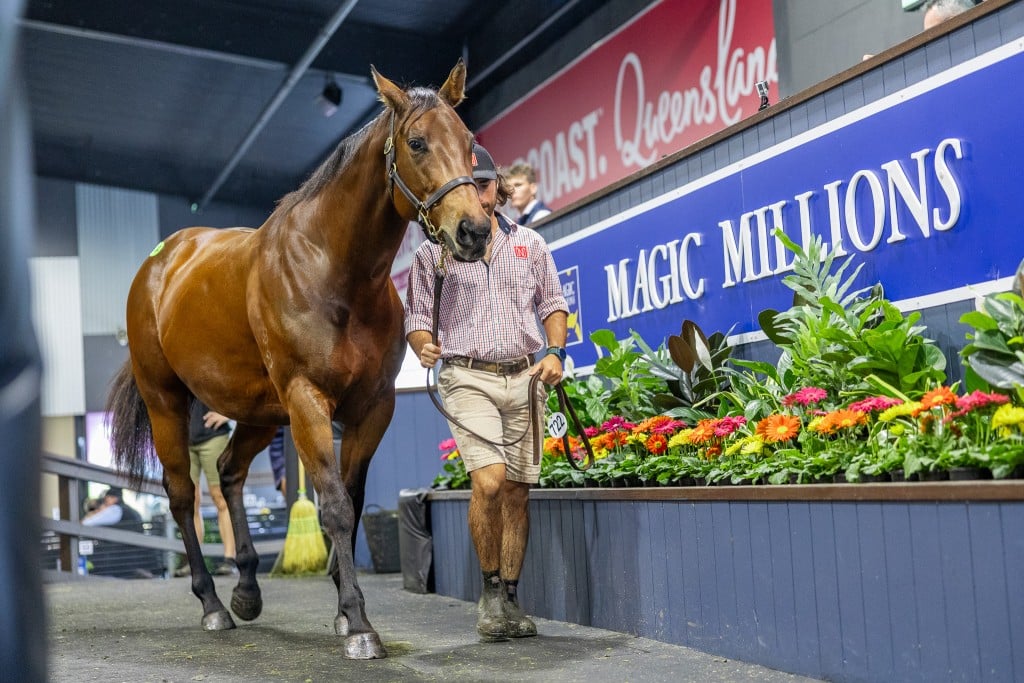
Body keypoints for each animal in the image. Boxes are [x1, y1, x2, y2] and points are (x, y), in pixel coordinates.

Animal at [105, 61, 489, 660]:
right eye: (417, 143)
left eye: (470, 143)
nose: (474, 231)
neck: (333, 271)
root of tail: (160, 261)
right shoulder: (308, 400)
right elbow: (332, 505)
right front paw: (358, 623)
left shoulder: (372, 408)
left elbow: (351, 500)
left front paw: (342, 606)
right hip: (166, 399)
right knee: (182, 494)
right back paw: (212, 605)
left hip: (260, 413)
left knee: (229, 471)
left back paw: (245, 591)